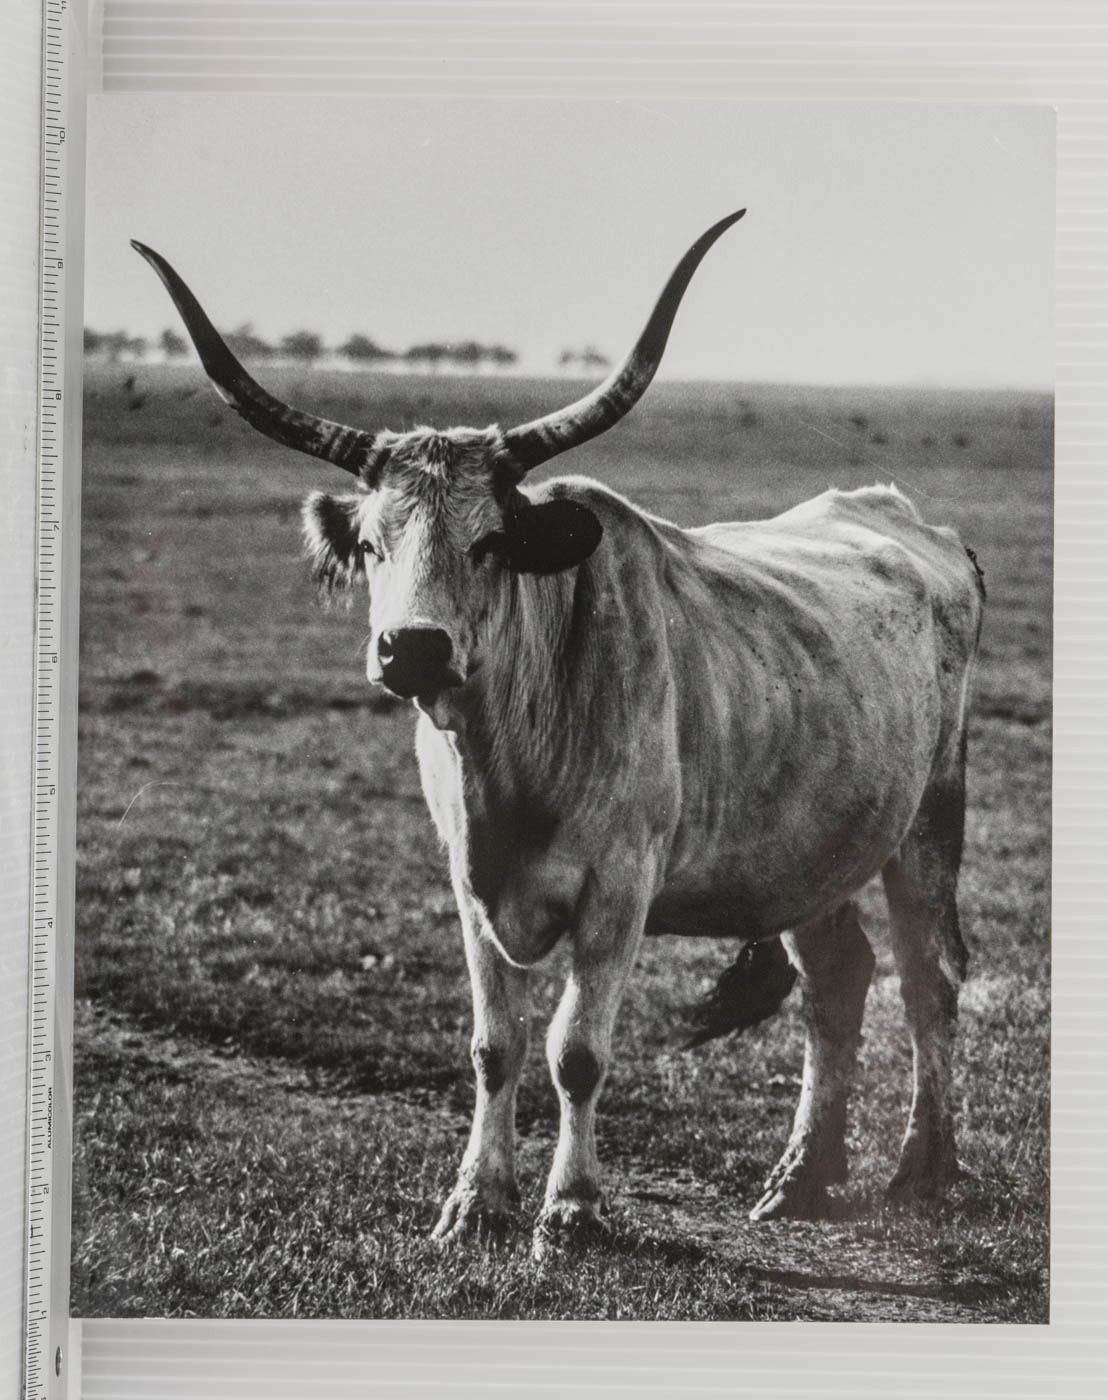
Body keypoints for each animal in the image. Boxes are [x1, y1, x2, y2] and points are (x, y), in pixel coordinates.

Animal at [133, 211, 984, 1255]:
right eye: (371, 543)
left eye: (491, 541)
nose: (412, 648)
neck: (509, 758)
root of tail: (909, 519)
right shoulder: (468, 883)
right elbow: (493, 1046)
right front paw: (474, 1199)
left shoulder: (618, 888)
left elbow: (575, 1049)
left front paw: (570, 1209)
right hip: (807, 848)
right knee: (838, 981)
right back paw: (801, 1179)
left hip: (929, 821)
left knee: (929, 979)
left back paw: (922, 1169)